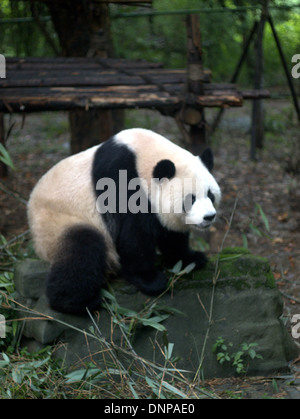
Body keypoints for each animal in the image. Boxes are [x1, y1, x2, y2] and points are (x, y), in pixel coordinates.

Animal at [27, 128, 220, 316]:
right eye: (190, 199)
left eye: (210, 194)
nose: (209, 216)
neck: (142, 157)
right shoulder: (119, 180)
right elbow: (134, 236)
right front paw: (151, 281)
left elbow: (171, 235)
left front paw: (191, 259)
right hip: (58, 220)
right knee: (82, 249)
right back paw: (76, 303)